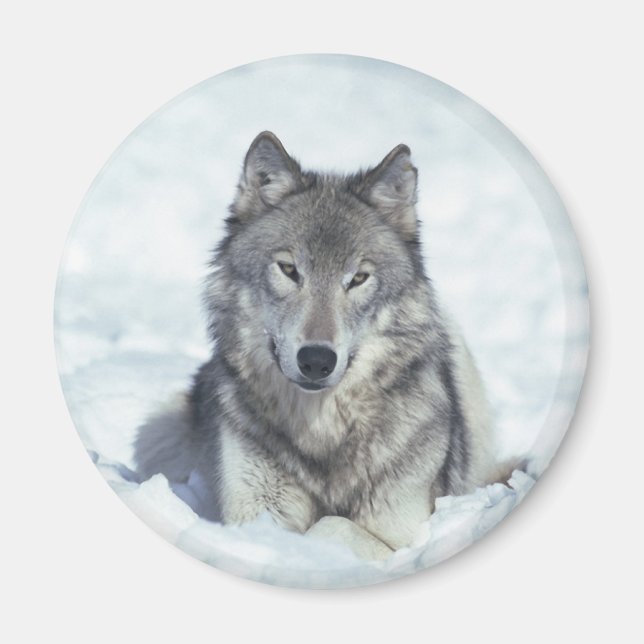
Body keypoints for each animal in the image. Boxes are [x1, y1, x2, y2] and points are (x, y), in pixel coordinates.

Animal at [135, 131, 500, 551]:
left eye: (357, 278)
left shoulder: (404, 535)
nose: (316, 361)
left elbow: (330, 525)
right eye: (289, 270)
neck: (322, 430)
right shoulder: (255, 514)